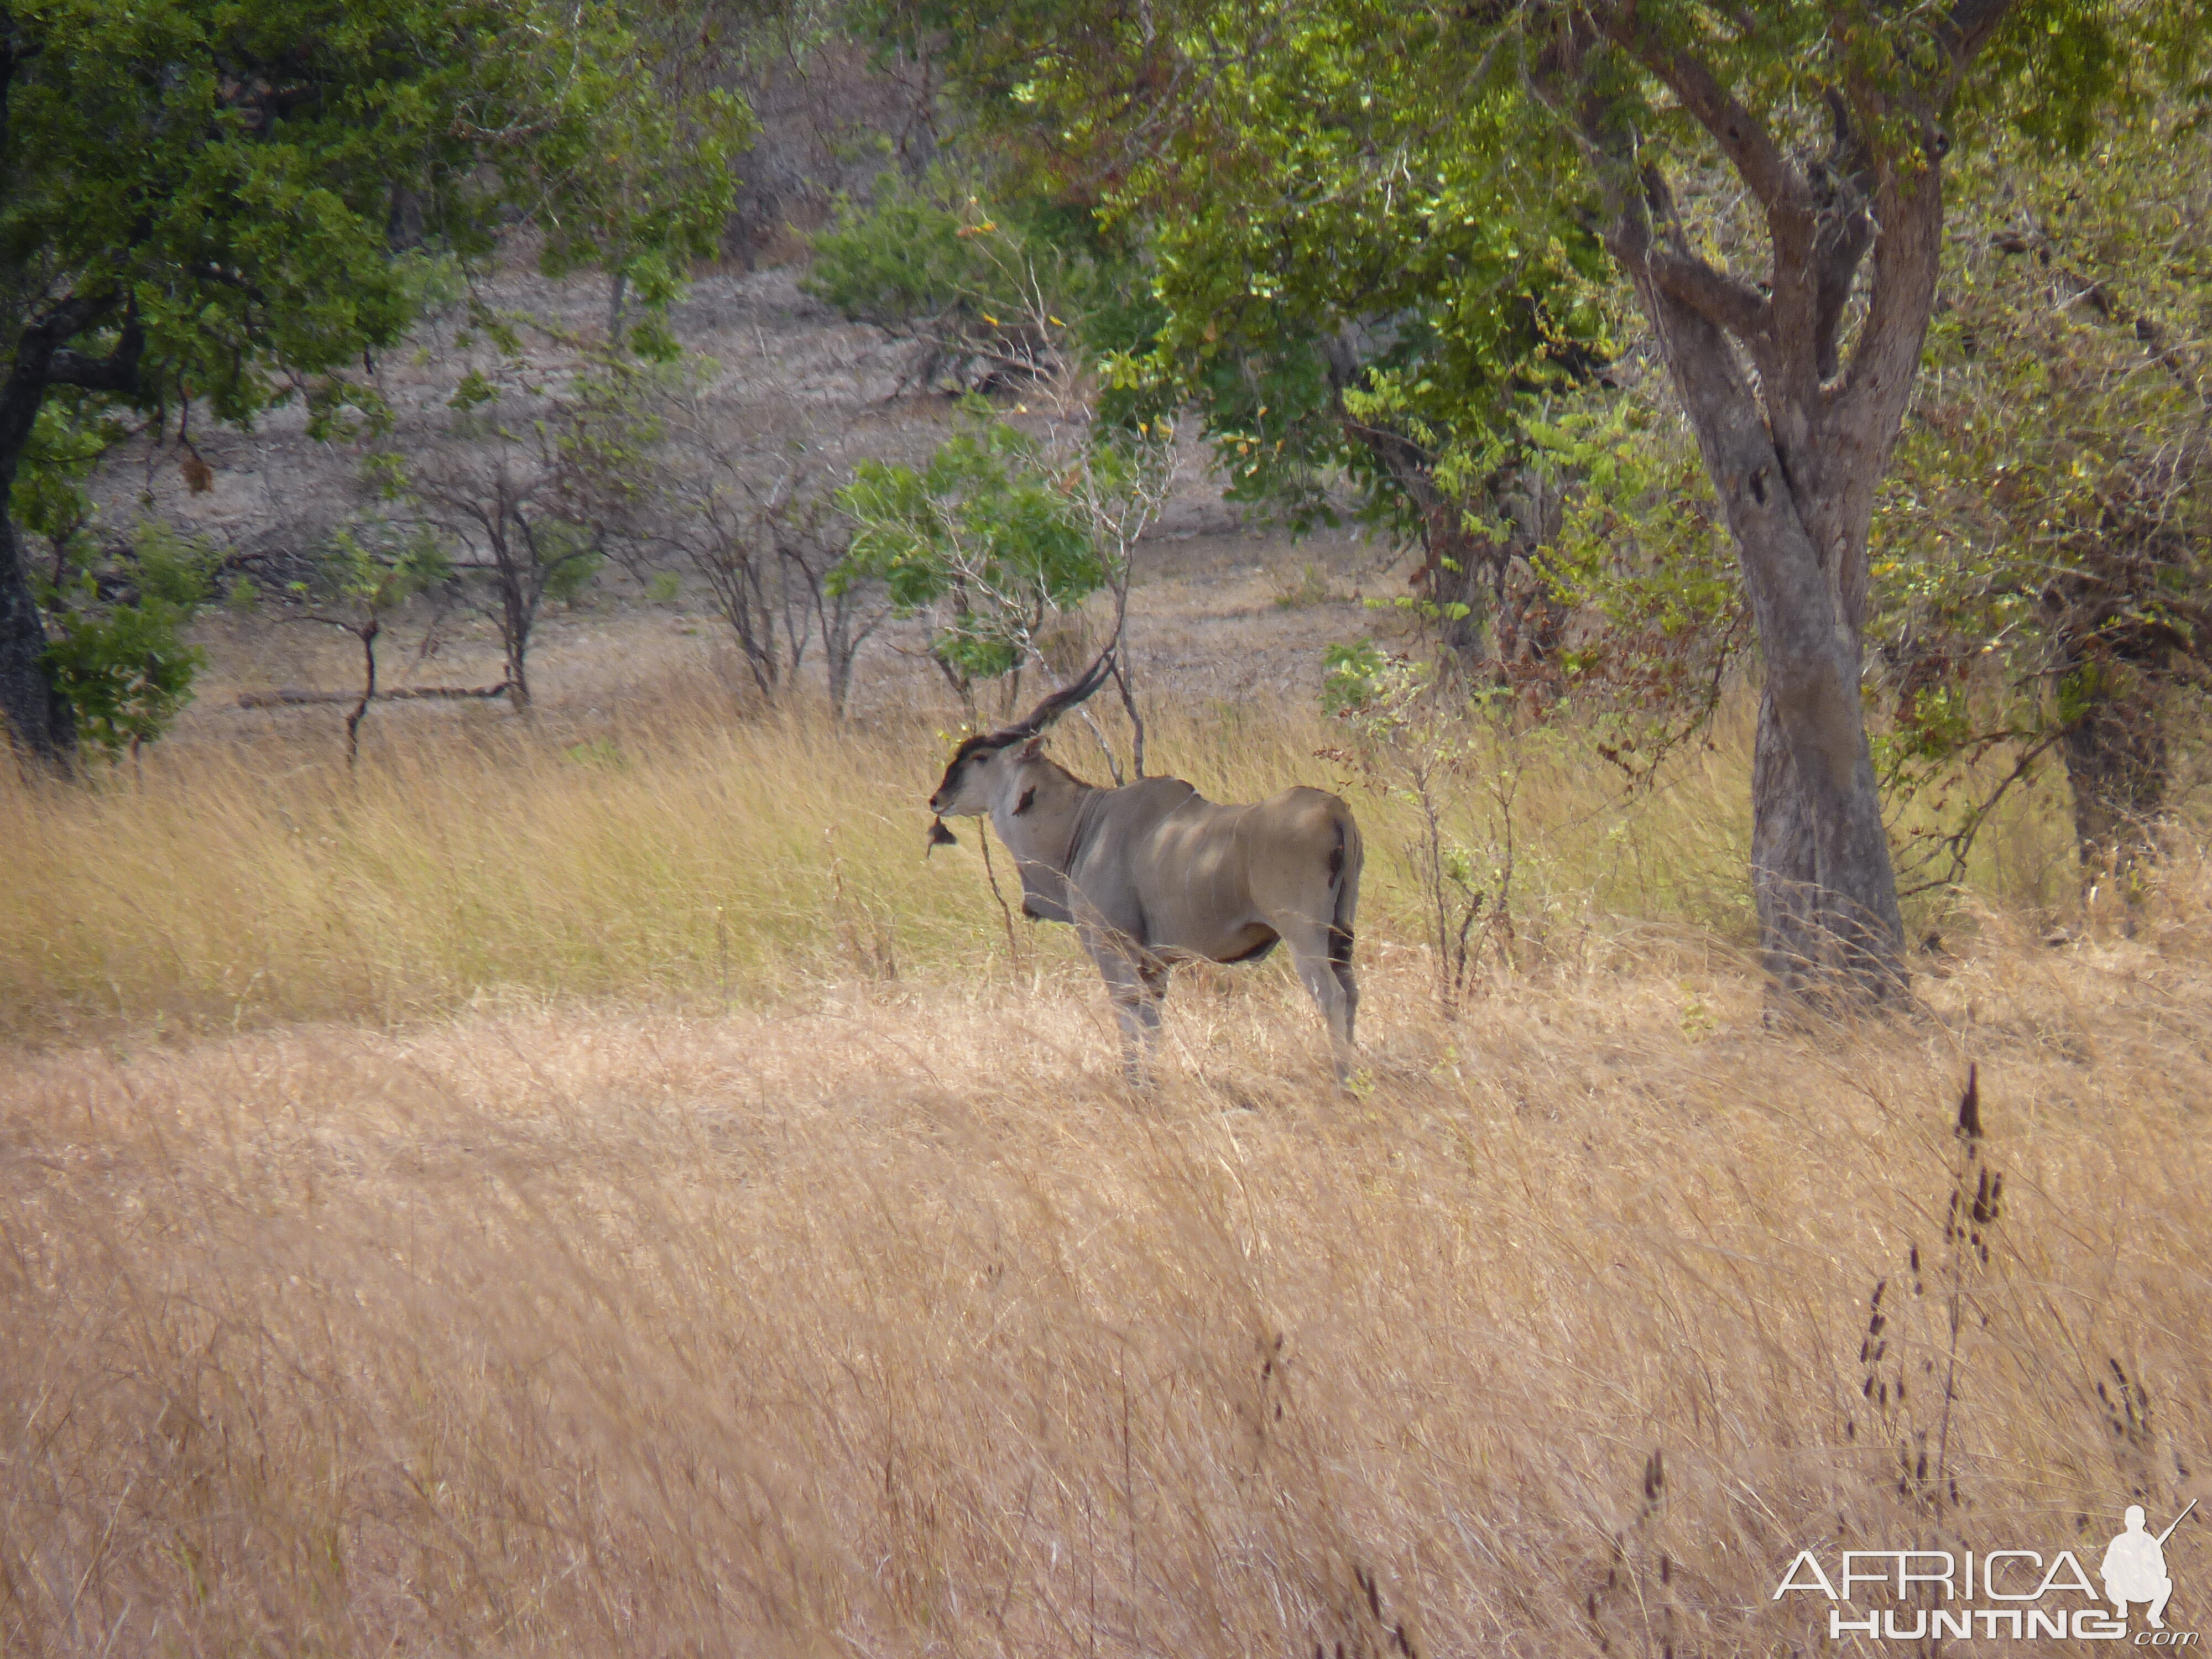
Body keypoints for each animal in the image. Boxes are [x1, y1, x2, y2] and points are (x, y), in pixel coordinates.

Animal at [920, 655, 1363, 1084]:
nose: (937, 798)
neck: (1084, 822)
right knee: (1352, 991)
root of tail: (1336, 811)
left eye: (979, 757)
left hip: (1303, 932)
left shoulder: (1111, 946)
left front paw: (1134, 1085)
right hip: (1341, 932)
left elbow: (1128, 1015)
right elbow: (1151, 1023)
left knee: (1331, 995)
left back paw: (1342, 1082)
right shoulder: (1156, 964)